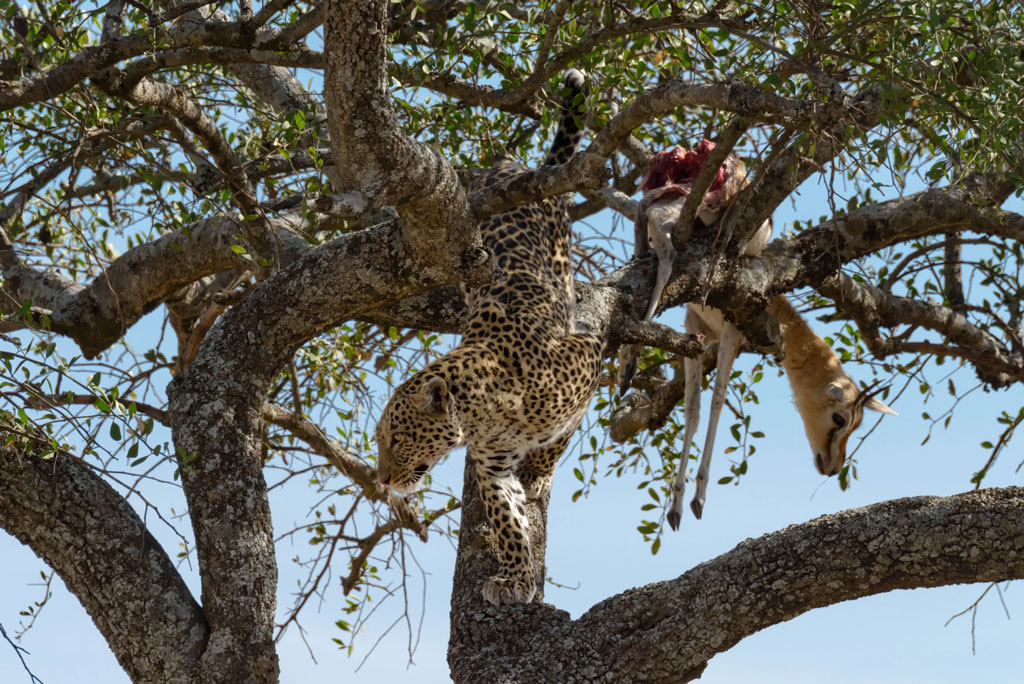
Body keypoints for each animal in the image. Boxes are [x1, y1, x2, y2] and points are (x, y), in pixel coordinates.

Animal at [375, 69, 603, 605]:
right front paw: (516, 576)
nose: (382, 480)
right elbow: (506, 520)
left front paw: (540, 471)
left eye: (396, 438)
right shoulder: (492, 465)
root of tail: (511, 164)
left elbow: (559, 439)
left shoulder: (591, 357)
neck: (489, 408)